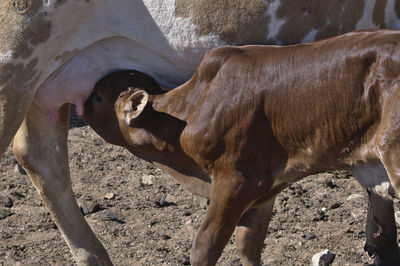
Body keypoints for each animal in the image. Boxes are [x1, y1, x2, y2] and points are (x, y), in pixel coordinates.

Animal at [0, 0, 400, 266]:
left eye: (100, 95)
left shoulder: (255, 178)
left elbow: (245, 241)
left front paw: (382, 245)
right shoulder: (240, 179)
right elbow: (210, 244)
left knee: (41, 156)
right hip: (15, 61)